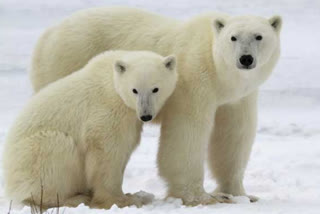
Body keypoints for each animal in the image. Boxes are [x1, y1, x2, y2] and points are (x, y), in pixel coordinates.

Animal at [3, 50, 178, 209]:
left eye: (155, 89)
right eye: (134, 90)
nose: (145, 115)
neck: (112, 80)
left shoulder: (130, 119)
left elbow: (125, 147)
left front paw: (133, 195)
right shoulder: (106, 112)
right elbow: (107, 153)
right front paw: (123, 200)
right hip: (33, 156)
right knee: (58, 148)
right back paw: (75, 198)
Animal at [29, 6, 280, 204]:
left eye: (259, 36)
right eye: (233, 38)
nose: (245, 59)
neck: (219, 72)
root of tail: (49, 33)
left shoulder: (237, 97)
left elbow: (233, 135)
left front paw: (240, 194)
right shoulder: (193, 81)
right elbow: (187, 134)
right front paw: (200, 197)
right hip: (68, 60)